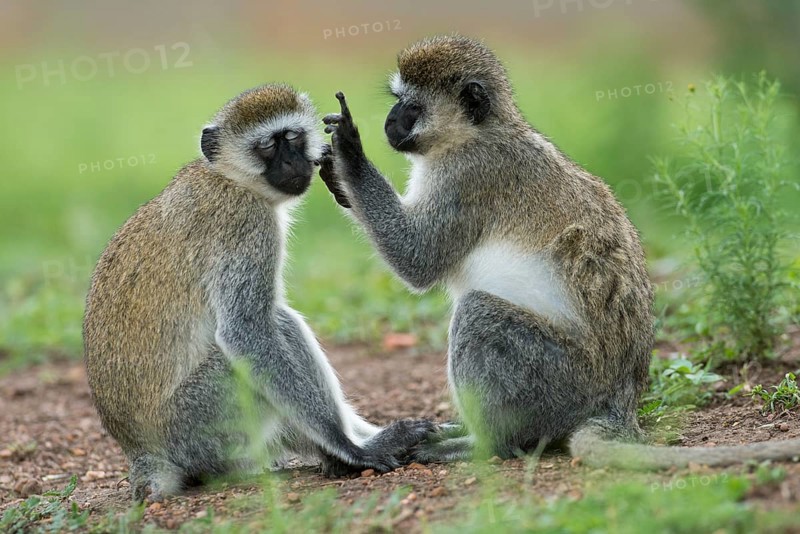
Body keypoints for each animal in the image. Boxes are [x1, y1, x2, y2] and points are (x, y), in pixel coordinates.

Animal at [83, 83, 435, 502]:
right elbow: (245, 331)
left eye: (293, 138)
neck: (232, 179)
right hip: (200, 421)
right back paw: (346, 452)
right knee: (275, 324)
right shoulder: (248, 226)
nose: (294, 162)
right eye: (267, 145)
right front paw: (351, 448)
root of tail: (143, 454)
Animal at [318, 35, 800, 469]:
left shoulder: (468, 176)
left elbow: (417, 259)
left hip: (556, 380)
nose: (389, 122)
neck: (478, 132)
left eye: (412, 108)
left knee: (479, 314)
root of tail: (618, 400)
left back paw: (484, 444)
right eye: (397, 101)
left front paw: (348, 152)